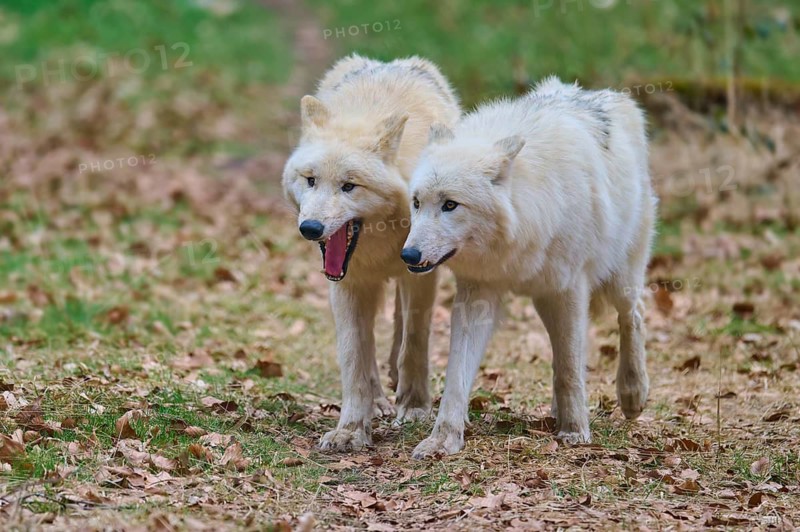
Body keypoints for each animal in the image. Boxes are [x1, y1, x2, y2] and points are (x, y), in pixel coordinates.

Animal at [282, 55, 460, 451]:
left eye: (349, 186)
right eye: (310, 180)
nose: (310, 228)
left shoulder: (421, 273)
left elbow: (415, 340)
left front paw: (414, 405)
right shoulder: (347, 284)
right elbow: (354, 358)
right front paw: (351, 428)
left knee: (400, 329)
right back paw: (378, 400)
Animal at [402, 77, 657, 458]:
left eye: (450, 205)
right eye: (417, 203)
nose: (409, 255)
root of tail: (613, 97)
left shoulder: (569, 289)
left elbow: (570, 369)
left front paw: (575, 431)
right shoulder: (478, 293)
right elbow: (456, 375)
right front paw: (443, 438)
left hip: (619, 278)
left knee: (633, 316)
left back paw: (632, 392)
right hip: (544, 300)